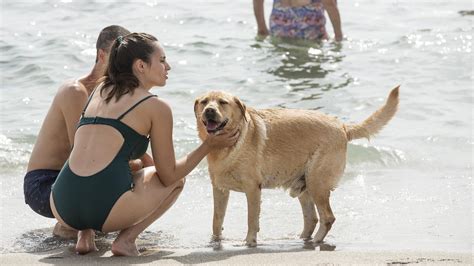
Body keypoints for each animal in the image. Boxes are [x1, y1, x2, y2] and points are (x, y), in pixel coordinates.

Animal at [194, 86, 398, 246]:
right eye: (204, 102)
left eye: (223, 102)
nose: (209, 111)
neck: (227, 146)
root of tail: (342, 126)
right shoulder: (219, 189)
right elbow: (216, 220)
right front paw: (215, 242)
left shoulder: (253, 189)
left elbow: (252, 219)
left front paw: (249, 242)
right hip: (304, 187)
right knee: (312, 219)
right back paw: (300, 239)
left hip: (317, 183)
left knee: (327, 217)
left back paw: (316, 241)